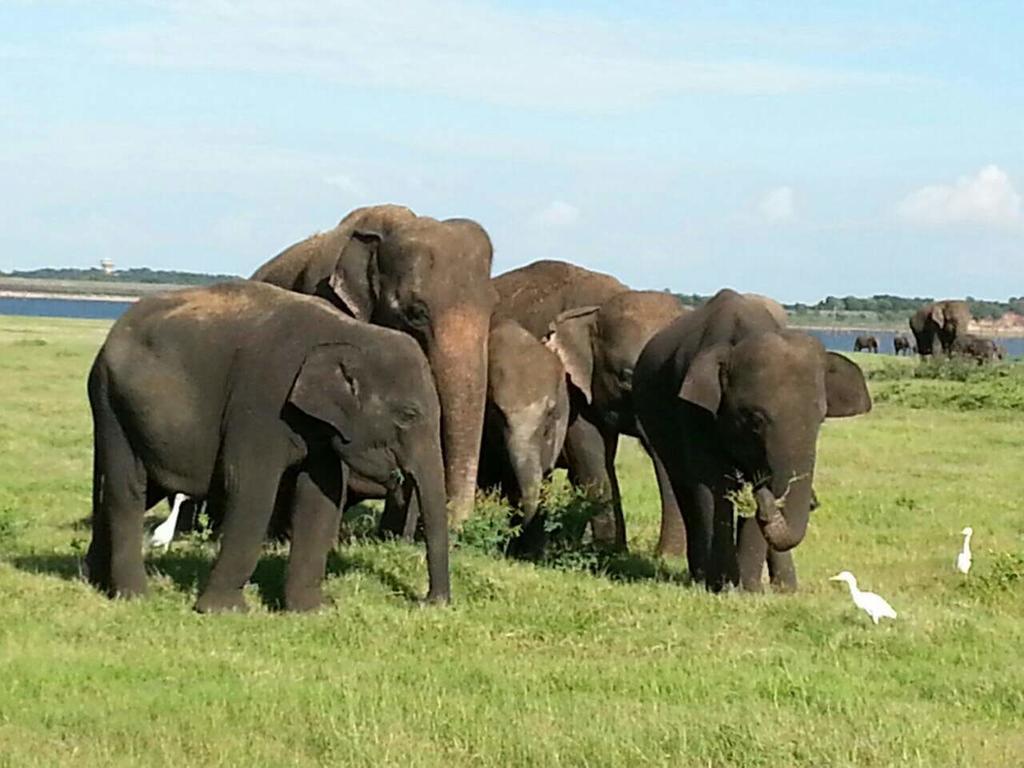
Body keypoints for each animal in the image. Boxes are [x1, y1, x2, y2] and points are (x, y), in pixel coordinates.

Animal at [89, 282, 452, 614]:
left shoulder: (318, 426)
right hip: (113, 407)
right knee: (128, 491)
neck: (351, 332)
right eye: (408, 415)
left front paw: (311, 610)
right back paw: (134, 596)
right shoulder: (262, 402)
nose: (429, 602)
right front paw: (225, 610)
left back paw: (95, 580)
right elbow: (251, 487)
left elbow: (323, 495)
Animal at [630, 290, 872, 593]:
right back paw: (701, 576)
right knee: (684, 488)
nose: (814, 501)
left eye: (821, 420)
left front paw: (748, 588)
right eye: (756, 420)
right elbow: (712, 483)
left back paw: (785, 588)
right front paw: (723, 585)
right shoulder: (692, 409)